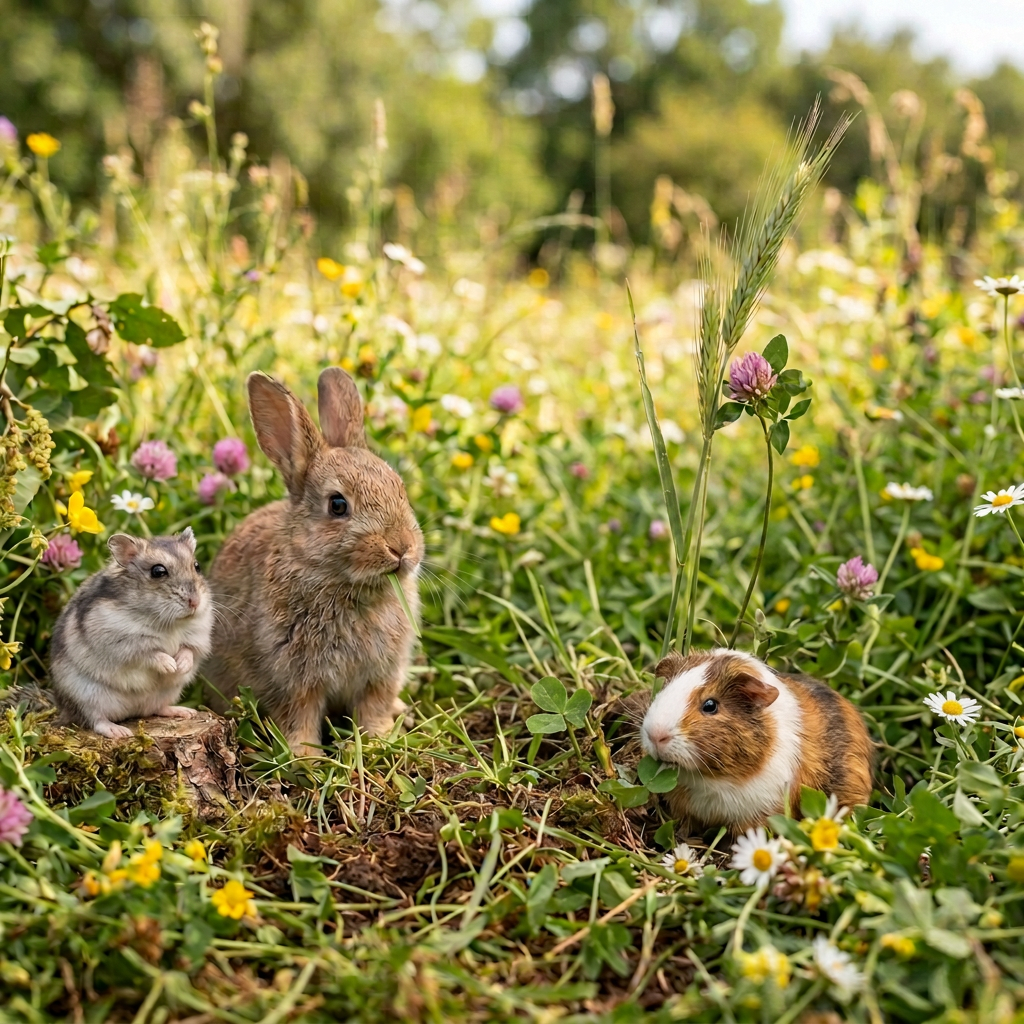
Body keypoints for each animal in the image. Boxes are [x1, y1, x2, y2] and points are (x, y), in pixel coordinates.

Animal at [203, 367, 423, 755]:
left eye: (400, 489)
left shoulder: (381, 675)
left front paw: (377, 742)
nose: (402, 548)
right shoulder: (291, 678)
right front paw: (306, 756)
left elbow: (373, 708)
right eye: (337, 505)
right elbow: (299, 715)